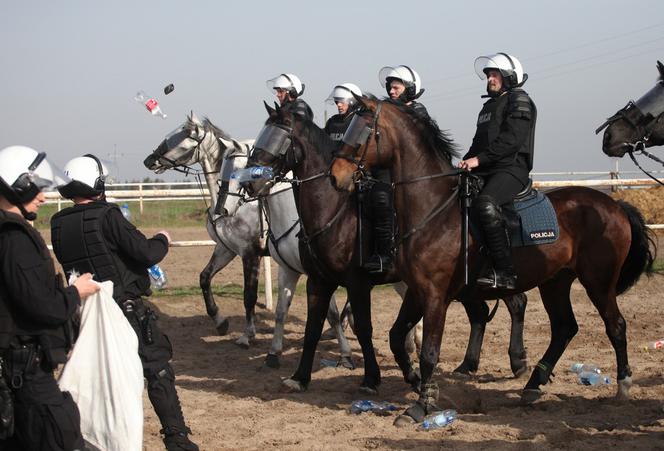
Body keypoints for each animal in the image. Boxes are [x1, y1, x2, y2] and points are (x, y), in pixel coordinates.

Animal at [244, 102, 528, 396]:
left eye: (277, 137)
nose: (248, 183)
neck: (334, 210)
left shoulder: (357, 282)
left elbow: (363, 328)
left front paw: (372, 378)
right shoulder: (318, 281)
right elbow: (312, 329)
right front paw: (300, 377)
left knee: (515, 302)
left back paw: (517, 362)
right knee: (481, 312)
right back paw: (468, 364)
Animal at [332, 96, 652, 424]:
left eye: (363, 129)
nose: (335, 176)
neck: (432, 209)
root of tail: (614, 204)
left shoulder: (435, 295)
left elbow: (429, 352)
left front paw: (421, 405)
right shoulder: (417, 291)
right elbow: (397, 337)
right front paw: (416, 383)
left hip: (598, 282)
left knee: (615, 325)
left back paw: (623, 385)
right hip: (555, 282)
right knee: (564, 328)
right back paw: (533, 385)